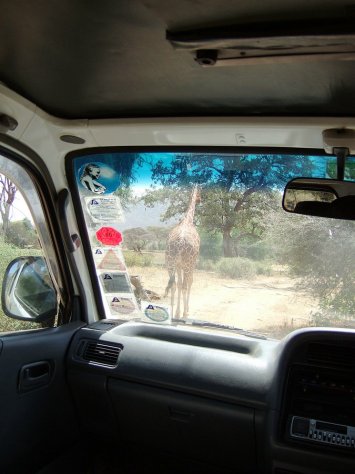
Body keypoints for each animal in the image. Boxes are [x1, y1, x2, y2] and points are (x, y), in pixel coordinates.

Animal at [165, 185, 202, 318]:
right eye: (200, 192)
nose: (200, 199)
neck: (188, 220)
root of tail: (180, 242)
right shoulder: (192, 264)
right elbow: (190, 282)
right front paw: (185, 310)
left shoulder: (178, 265)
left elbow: (180, 284)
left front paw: (177, 312)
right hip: (187, 264)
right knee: (186, 285)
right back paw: (184, 313)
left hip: (170, 263)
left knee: (173, 285)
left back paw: (172, 313)